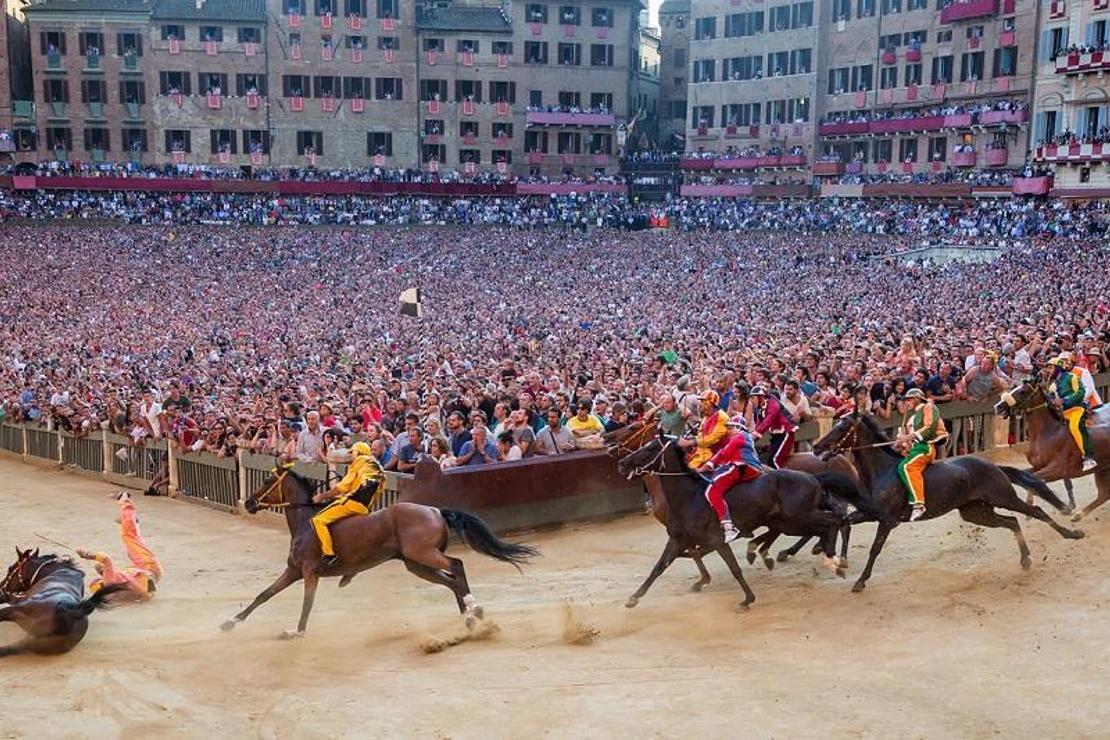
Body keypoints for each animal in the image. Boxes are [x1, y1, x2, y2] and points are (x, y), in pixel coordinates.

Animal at [218, 465, 539, 639]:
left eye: (266, 481)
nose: (249, 503)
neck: (305, 521)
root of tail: (435, 510)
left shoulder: (309, 572)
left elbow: (306, 604)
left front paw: (296, 632)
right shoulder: (293, 570)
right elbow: (264, 595)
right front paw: (230, 622)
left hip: (423, 555)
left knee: (457, 566)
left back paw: (473, 608)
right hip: (415, 563)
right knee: (451, 580)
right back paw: (469, 616)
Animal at [617, 437, 856, 612]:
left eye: (649, 449)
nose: (622, 463)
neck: (689, 498)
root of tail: (813, 477)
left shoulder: (718, 541)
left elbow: (734, 568)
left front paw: (747, 599)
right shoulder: (677, 540)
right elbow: (659, 567)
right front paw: (634, 598)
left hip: (798, 517)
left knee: (834, 520)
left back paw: (833, 559)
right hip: (791, 522)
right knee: (825, 525)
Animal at [808, 414, 1083, 594]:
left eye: (842, 428)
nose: (816, 446)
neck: (881, 471)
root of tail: (993, 466)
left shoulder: (887, 520)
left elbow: (874, 549)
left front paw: (860, 581)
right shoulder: (869, 513)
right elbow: (843, 520)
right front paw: (826, 553)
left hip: (1003, 497)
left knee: (1034, 511)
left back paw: (1072, 534)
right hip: (976, 512)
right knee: (1012, 521)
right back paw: (1025, 559)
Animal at [999, 381, 1110, 521]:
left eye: (1022, 391)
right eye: (1014, 388)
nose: (998, 406)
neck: (1049, 433)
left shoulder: (1057, 469)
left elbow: (1033, 480)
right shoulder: (1038, 467)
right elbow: (1027, 478)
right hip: (1102, 470)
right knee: (1104, 494)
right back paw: (1079, 515)